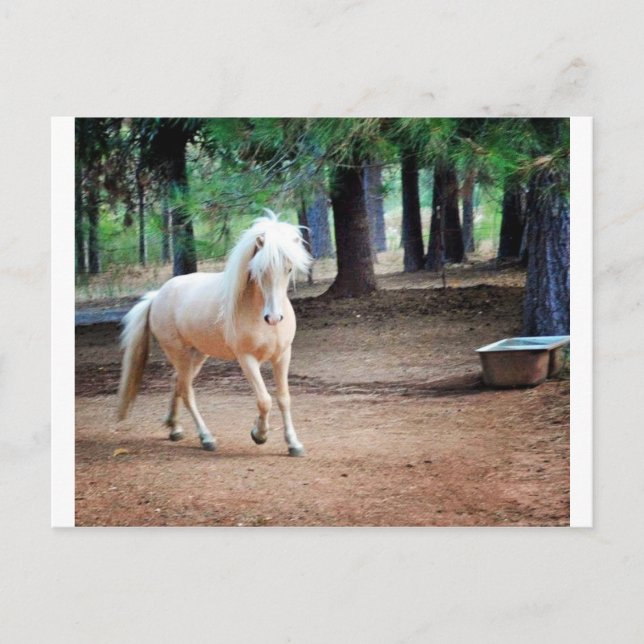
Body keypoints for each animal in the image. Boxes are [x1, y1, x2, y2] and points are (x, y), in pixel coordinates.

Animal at [116, 210, 313, 456]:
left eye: (288, 268)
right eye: (260, 270)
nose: (274, 318)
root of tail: (157, 296)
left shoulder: (282, 356)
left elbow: (283, 399)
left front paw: (293, 444)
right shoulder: (247, 359)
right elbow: (264, 400)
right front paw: (259, 435)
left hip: (197, 354)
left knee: (177, 382)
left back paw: (174, 428)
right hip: (179, 353)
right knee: (186, 390)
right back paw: (206, 438)